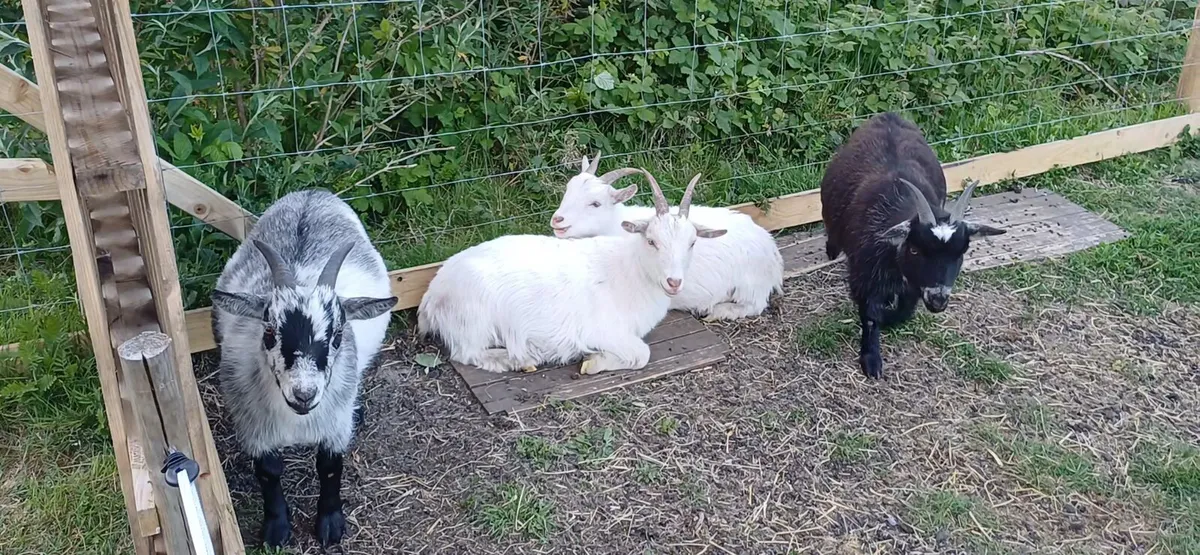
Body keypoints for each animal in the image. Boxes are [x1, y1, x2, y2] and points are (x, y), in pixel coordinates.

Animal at [210, 190, 397, 548]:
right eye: (269, 332)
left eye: (337, 336)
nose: (304, 393)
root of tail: (312, 194)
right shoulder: (255, 426)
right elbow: (269, 472)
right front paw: (277, 529)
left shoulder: (334, 424)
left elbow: (329, 466)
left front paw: (330, 525)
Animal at [418, 169, 726, 375]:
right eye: (652, 241)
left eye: (692, 242)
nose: (674, 282)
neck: (630, 271)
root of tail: (431, 297)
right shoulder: (603, 330)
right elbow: (642, 354)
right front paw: (592, 362)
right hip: (474, 321)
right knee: (466, 353)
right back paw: (520, 359)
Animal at [549, 152, 783, 320]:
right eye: (567, 191)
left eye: (595, 203)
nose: (557, 220)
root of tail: (771, 248)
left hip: (751, 285)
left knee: (754, 305)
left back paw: (718, 311)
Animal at [820, 113, 1004, 379]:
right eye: (915, 250)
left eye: (960, 254)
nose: (938, 300)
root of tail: (888, 116)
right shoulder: (863, 276)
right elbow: (870, 316)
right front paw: (871, 360)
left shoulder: (915, 285)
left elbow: (904, 312)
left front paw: (889, 317)